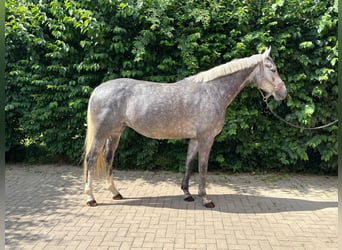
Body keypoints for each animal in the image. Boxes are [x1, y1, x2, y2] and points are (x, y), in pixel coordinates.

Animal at [83, 47, 286, 207]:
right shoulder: (206, 139)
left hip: (115, 133)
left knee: (108, 158)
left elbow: (189, 164)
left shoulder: (195, 139)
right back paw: (91, 198)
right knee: (91, 158)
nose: (284, 93)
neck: (212, 92)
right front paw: (205, 199)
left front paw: (187, 194)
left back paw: (115, 193)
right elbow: (202, 168)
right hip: (101, 133)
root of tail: (98, 89)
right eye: (273, 69)